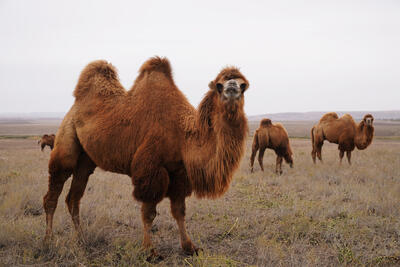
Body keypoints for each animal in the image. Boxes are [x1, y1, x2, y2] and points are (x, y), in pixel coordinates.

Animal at [43, 57, 250, 260]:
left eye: (244, 85)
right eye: (219, 85)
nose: (232, 87)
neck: (183, 135)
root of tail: (75, 106)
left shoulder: (179, 174)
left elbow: (179, 211)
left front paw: (190, 247)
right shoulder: (151, 170)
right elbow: (149, 214)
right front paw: (150, 251)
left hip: (86, 160)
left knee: (73, 197)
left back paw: (81, 239)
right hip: (66, 142)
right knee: (53, 193)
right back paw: (49, 241)